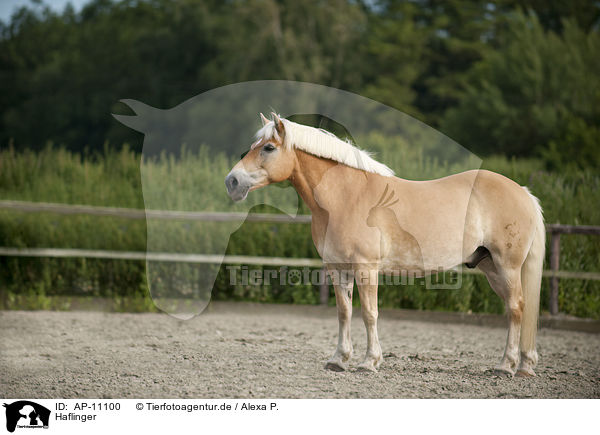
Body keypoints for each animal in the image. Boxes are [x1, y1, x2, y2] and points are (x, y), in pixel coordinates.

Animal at [225, 112, 544, 378]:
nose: (232, 181)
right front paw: (339, 360)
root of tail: (523, 192)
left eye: (268, 148)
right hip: (490, 267)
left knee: (516, 307)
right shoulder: (338, 268)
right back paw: (524, 365)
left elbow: (370, 313)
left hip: (507, 266)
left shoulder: (366, 268)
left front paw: (369, 362)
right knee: (516, 309)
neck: (345, 197)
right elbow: (344, 312)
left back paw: (506, 366)